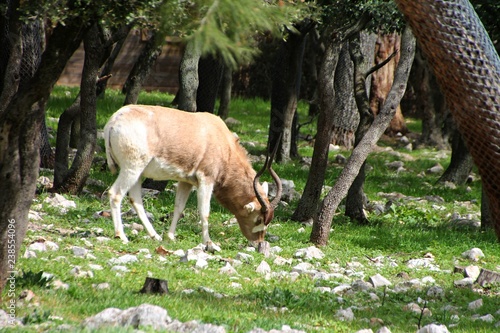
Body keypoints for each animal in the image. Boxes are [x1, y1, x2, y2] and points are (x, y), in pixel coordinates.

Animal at [102, 104, 282, 249]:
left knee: (135, 199)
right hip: (131, 168)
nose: (258, 243)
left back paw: (155, 236)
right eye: (258, 219)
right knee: (116, 194)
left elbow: (179, 207)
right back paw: (121, 236)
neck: (222, 141)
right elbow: (204, 212)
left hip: (138, 173)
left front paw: (170, 237)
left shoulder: (186, 181)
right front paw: (208, 242)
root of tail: (114, 120)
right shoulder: (206, 179)